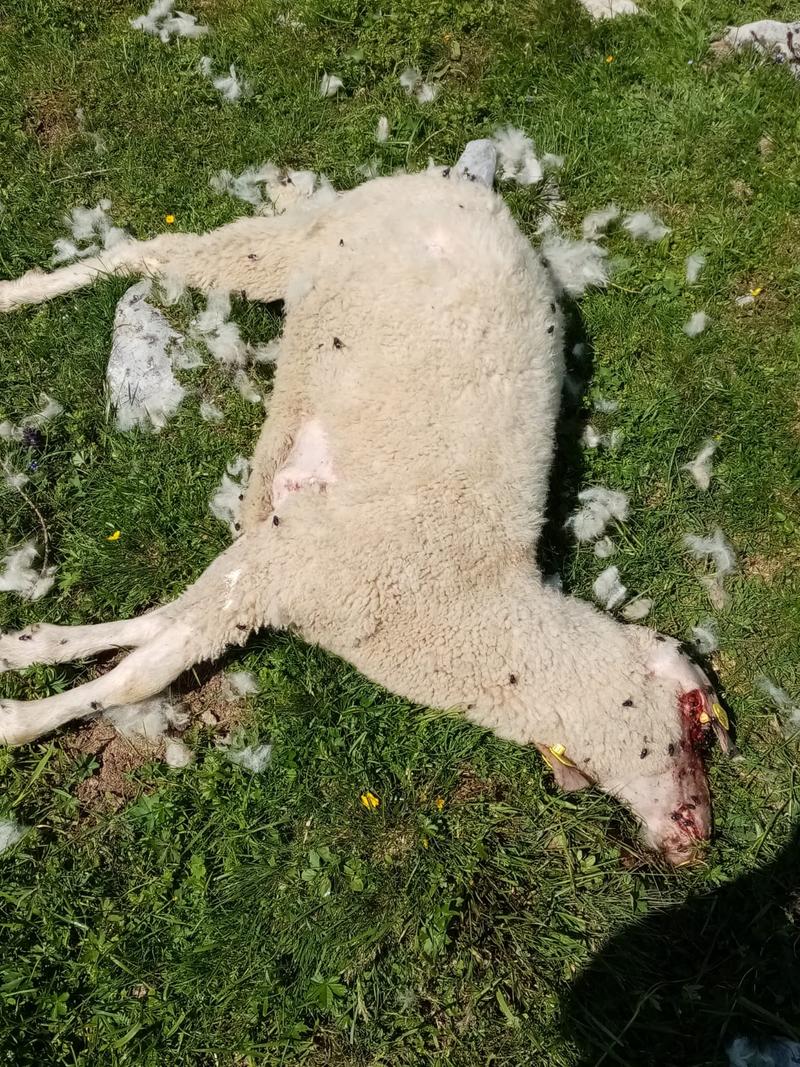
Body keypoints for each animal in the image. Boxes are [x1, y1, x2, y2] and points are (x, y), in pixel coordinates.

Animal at [0, 153, 730, 864]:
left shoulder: (280, 564)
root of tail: (466, 187)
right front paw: (17, 720)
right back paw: (21, 292)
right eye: (694, 727)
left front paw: (28, 648)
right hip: (290, 246)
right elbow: (139, 674)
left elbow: (158, 628)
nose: (697, 840)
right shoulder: (298, 559)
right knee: (154, 252)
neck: (465, 604)